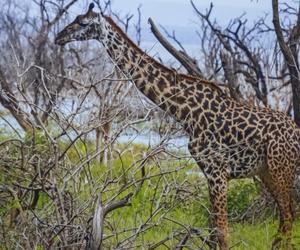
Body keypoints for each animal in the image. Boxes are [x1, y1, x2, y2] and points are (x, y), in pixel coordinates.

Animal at [55, 2, 300, 249]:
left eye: (83, 23)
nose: (59, 37)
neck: (186, 112)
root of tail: (297, 131)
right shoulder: (209, 173)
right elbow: (214, 231)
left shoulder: (218, 172)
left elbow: (222, 232)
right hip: (267, 171)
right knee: (286, 214)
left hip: (281, 169)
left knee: (289, 215)